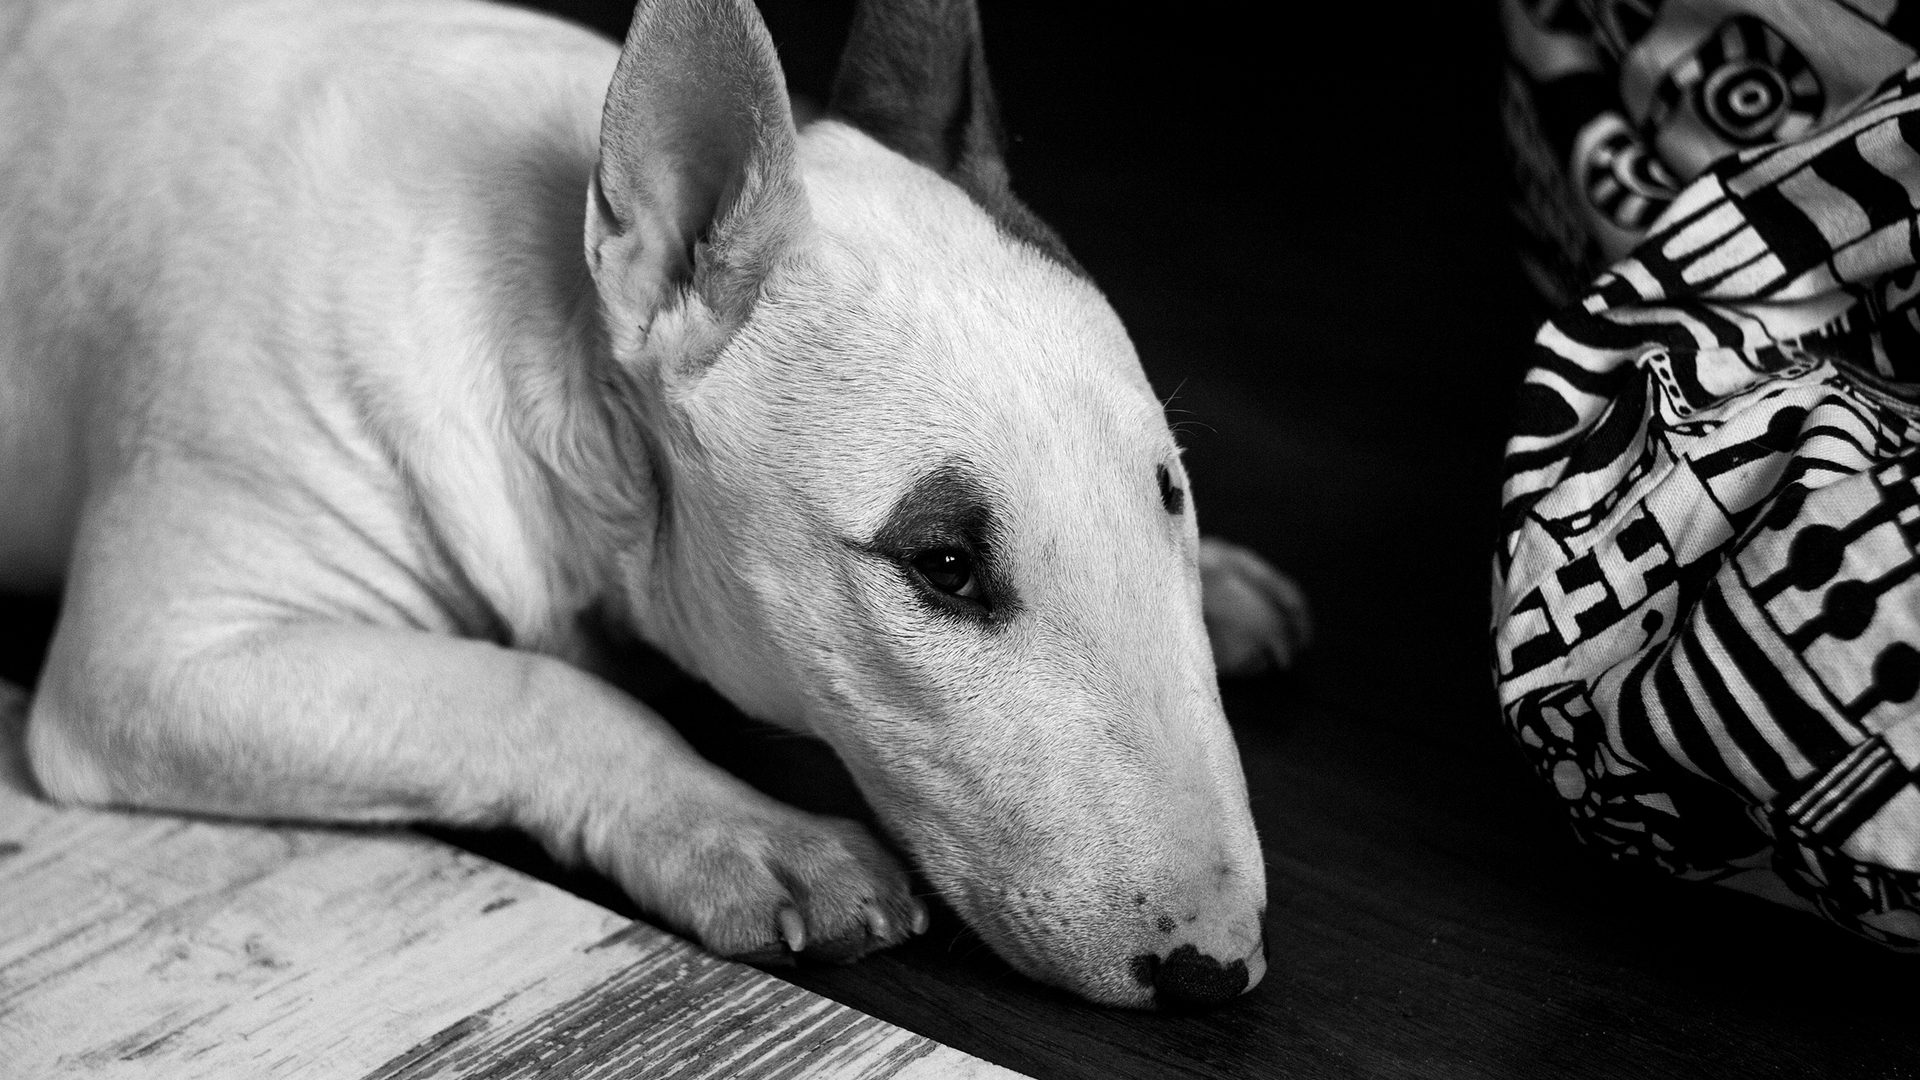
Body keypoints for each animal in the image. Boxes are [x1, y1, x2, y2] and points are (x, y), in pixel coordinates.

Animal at [0, 0, 1310, 1008]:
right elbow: (524, 688)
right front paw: (756, 838)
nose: (1216, 973)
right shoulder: (153, 661)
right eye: (940, 562)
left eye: (1170, 493)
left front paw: (1226, 586)